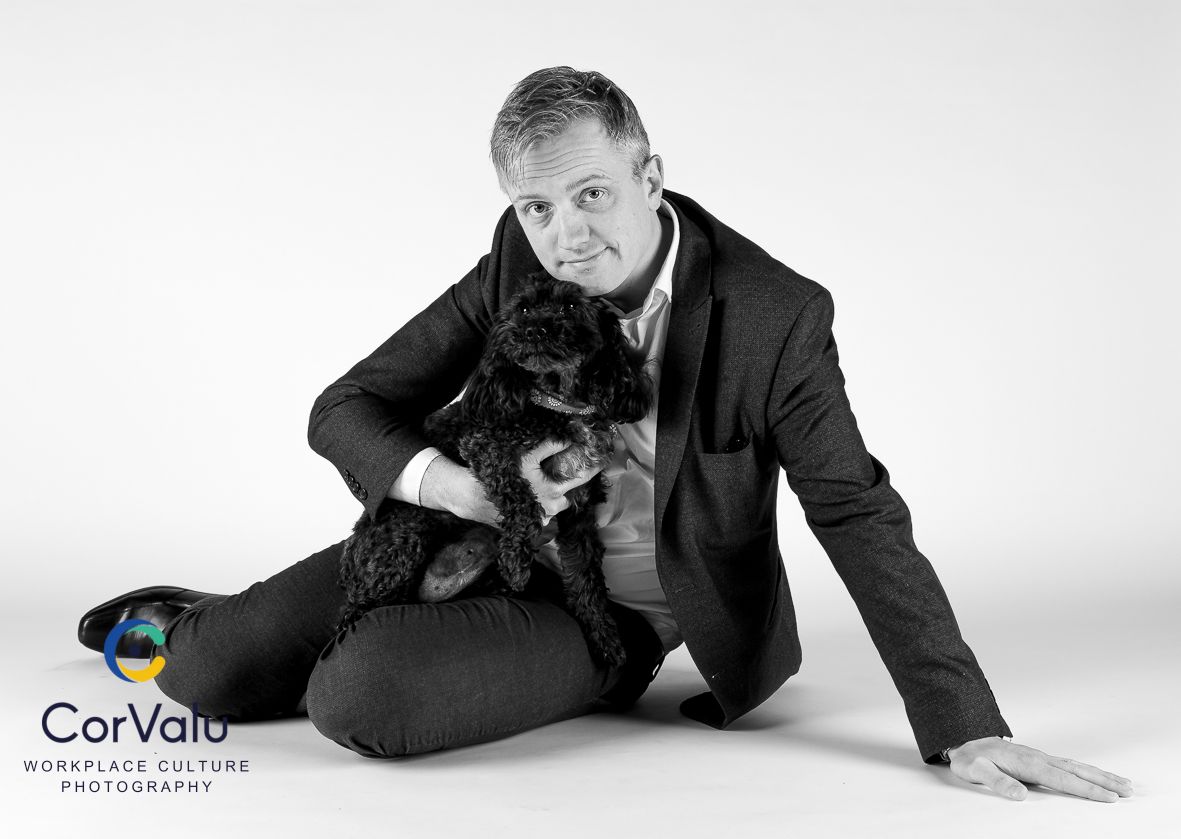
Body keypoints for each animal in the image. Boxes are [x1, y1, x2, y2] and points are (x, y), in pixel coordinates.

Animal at [335, 273, 653, 666]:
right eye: (524, 309)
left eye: (570, 307)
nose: (533, 330)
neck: (558, 404)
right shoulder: (485, 446)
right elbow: (522, 501)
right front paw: (516, 559)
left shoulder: (579, 511)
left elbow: (586, 577)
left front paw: (605, 638)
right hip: (406, 534)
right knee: (355, 608)